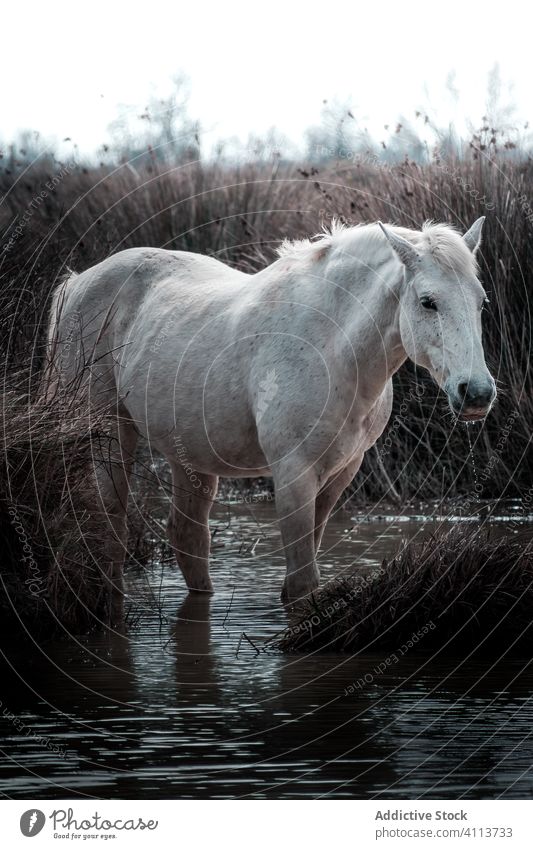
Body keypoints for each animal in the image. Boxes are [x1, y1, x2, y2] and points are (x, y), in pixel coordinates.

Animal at [45, 219, 494, 604]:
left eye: (480, 301)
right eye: (427, 302)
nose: (476, 393)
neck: (334, 347)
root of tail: (77, 282)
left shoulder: (340, 473)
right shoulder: (293, 471)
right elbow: (301, 584)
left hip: (189, 454)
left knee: (187, 538)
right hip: (110, 431)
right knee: (112, 526)